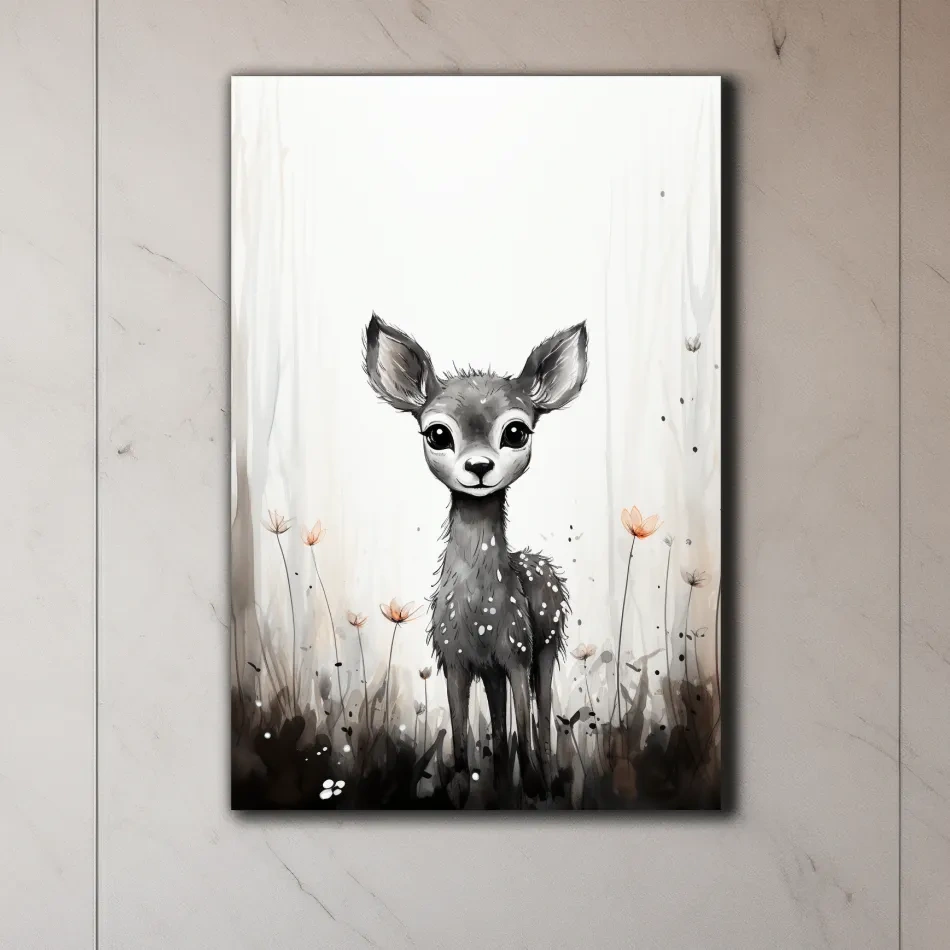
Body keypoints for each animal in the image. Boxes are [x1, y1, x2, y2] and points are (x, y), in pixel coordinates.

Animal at [364, 312, 588, 800]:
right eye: (437, 433)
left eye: (516, 431)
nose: (480, 467)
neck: (480, 612)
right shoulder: (455, 659)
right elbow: (463, 742)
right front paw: (462, 789)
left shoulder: (517, 651)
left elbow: (526, 725)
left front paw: (534, 787)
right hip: (494, 669)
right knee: (500, 730)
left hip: (546, 644)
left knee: (541, 719)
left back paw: (543, 779)